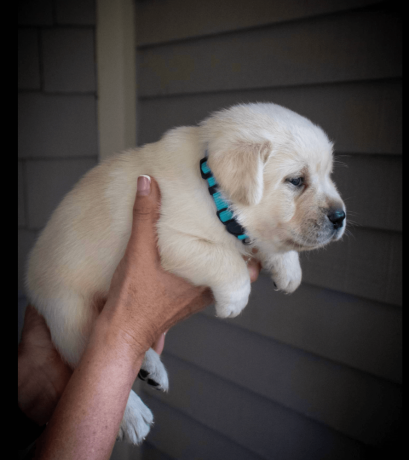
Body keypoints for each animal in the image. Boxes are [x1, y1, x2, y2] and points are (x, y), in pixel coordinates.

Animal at [24, 102, 344, 444]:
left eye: (328, 175)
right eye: (296, 180)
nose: (341, 217)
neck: (212, 190)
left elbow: (264, 240)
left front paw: (288, 268)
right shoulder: (171, 239)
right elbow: (227, 261)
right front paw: (235, 300)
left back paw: (151, 368)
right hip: (68, 310)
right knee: (85, 354)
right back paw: (132, 415)